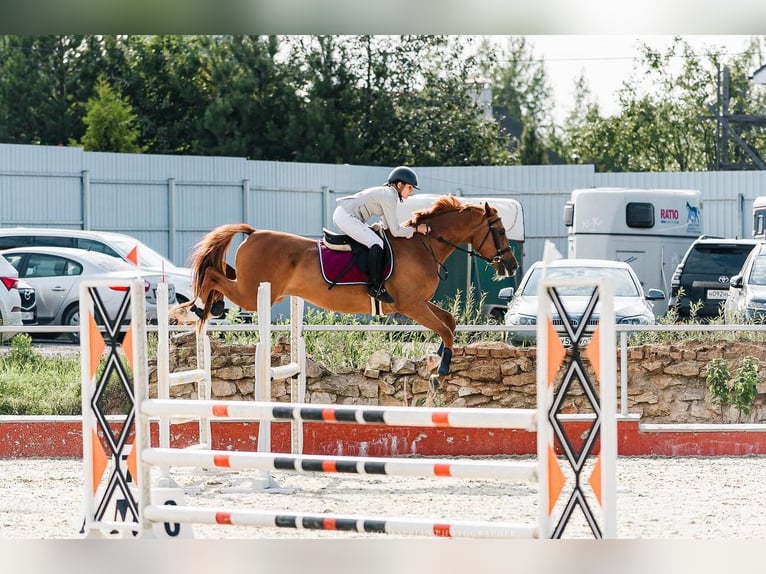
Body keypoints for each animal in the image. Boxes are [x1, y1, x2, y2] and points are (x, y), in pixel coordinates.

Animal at [181, 196, 520, 380]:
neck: (424, 245)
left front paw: (439, 359)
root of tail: (252, 233)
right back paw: (199, 306)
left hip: (253, 290)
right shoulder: (410, 305)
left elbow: (449, 322)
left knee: (220, 273)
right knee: (212, 275)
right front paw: (442, 370)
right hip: (255, 294)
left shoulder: (418, 302)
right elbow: (446, 329)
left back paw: (210, 306)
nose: (513, 265)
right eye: (500, 231)